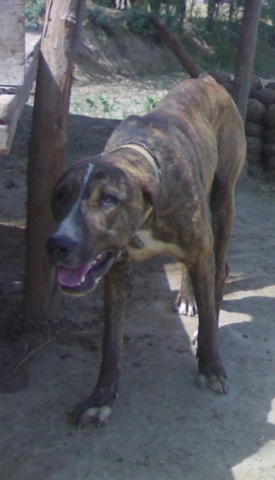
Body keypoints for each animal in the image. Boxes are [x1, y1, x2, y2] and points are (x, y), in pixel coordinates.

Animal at [46, 76, 247, 428]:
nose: (59, 244)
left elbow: (210, 318)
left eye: (108, 199)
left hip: (223, 202)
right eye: (61, 195)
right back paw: (187, 297)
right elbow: (110, 343)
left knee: (219, 272)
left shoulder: (200, 247)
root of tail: (207, 79)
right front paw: (101, 398)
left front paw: (210, 366)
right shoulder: (114, 271)